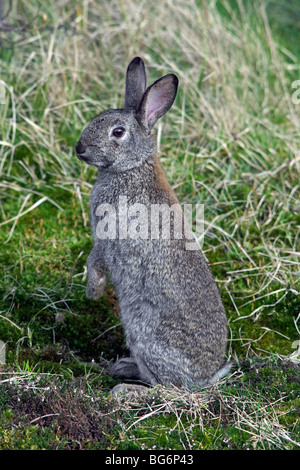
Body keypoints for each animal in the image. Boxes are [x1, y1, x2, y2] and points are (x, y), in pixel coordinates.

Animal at [75, 57, 230, 392]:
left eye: (118, 132)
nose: (80, 148)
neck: (131, 168)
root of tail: (205, 377)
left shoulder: (107, 235)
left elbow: (95, 260)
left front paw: (93, 292)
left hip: (143, 331)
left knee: (166, 388)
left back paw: (126, 390)